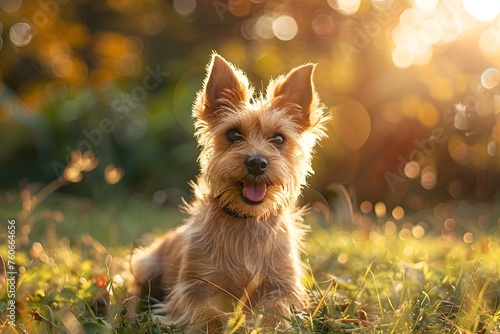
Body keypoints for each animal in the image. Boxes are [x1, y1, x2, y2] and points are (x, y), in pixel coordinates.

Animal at [131, 54, 330, 332]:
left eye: (279, 138)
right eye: (233, 134)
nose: (257, 162)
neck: (246, 220)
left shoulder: (284, 287)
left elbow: (276, 309)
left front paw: (264, 325)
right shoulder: (194, 288)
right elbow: (209, 315)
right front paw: (228, 324)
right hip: (145, 264)